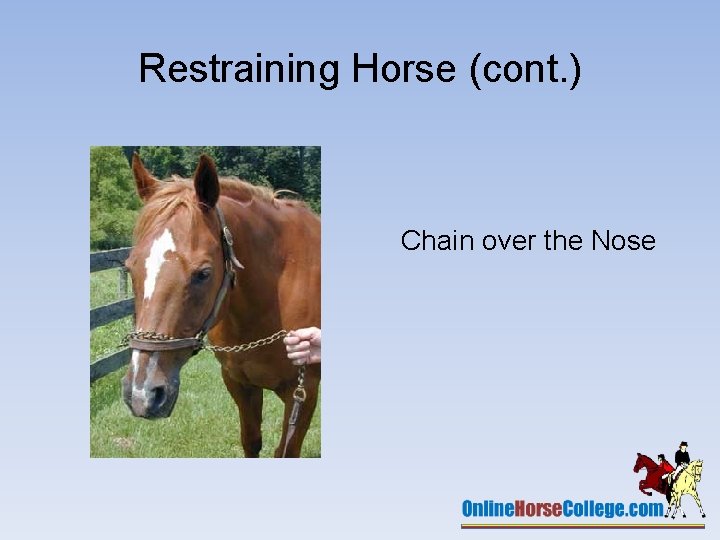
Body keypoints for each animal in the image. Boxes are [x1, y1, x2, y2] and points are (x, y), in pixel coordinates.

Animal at [121, 153, 321, 457]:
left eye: (203, 273)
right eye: (131, 268)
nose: (142, 394)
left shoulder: (303, 391)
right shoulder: (239, 383)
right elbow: (251, 441)